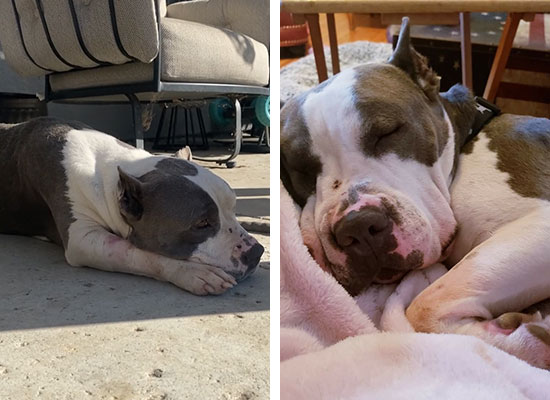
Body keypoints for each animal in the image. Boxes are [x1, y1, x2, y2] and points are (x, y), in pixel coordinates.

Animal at [0, 117, 266, 296]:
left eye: (233, 207)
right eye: (202, 223)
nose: (257, 253)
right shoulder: (82, 239)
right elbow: (136, 253)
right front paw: (191, 272)